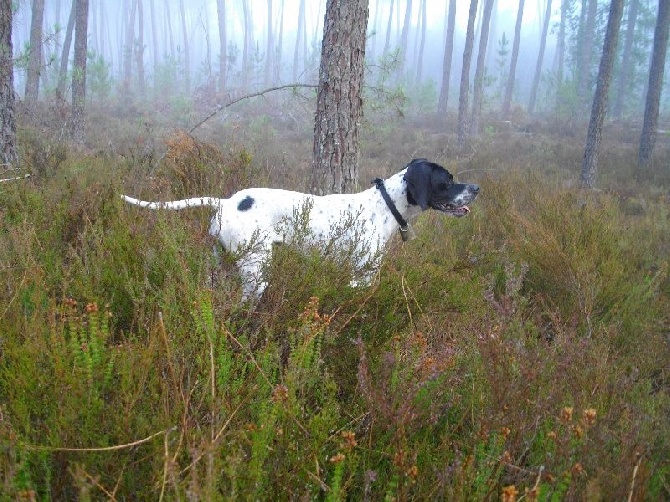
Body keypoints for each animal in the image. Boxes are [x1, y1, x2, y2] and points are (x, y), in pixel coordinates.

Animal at [121, 158, 478, 298]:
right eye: (447, 180)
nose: (476, 188)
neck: (385, 205)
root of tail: (226, 202)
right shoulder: (359, 279)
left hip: (218, 266)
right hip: (255, 272)